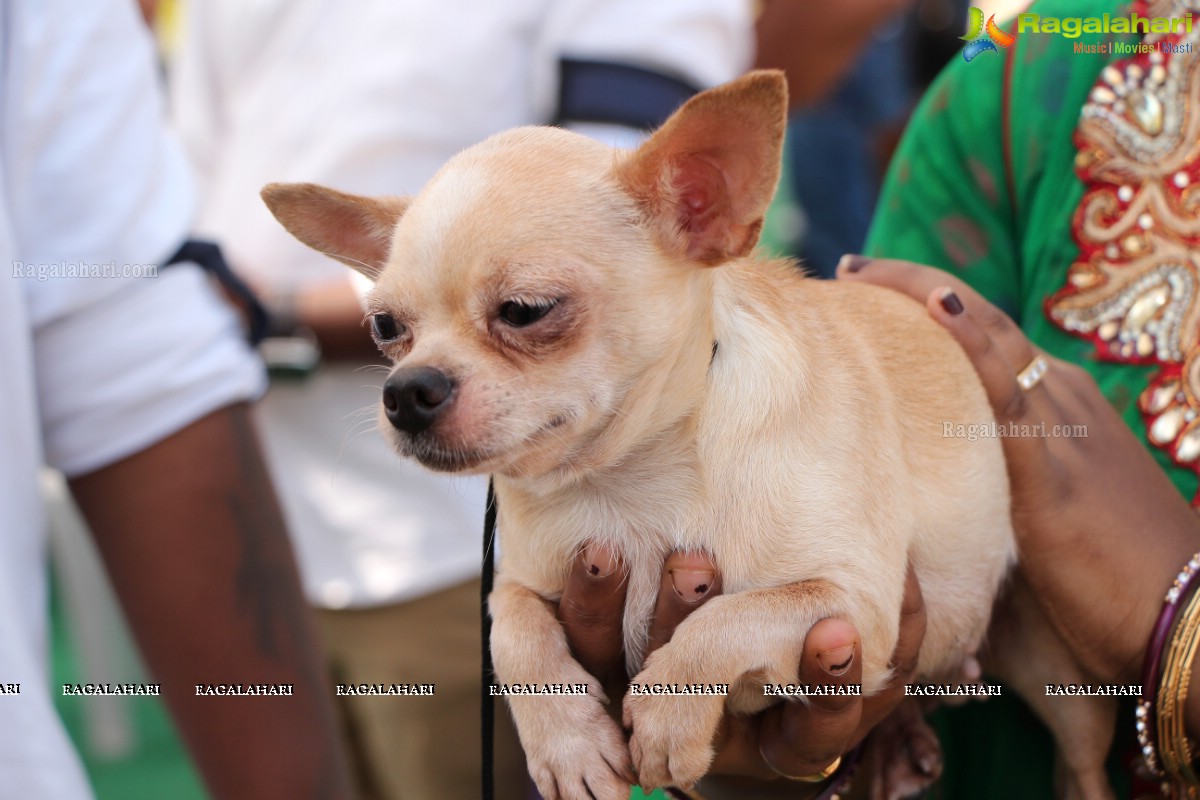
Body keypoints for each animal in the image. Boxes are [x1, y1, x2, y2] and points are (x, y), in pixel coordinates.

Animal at [262, 70, 1113, 800]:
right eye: (385, 328)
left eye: (526, 311)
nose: (407, 390)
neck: (630, 479)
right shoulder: (519, 583)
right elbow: (515, 633)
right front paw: (567, 745)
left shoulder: (853, 607)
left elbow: (724, 621)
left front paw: (670, 715)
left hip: (1055, 669)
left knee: (1082, 759)